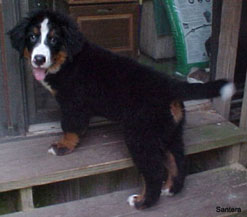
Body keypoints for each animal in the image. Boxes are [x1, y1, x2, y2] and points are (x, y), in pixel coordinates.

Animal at [8, 9, 235, 209]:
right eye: (32, 37)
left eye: (54, 40)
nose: (38, 59)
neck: (67, 62)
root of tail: (170, 84)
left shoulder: (73, 104)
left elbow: (71, 127)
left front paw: (63, 146)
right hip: (170, 131)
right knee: (178, 161)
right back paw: (171, 189)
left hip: (140, 136)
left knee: (154, 172)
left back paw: (142, 202)